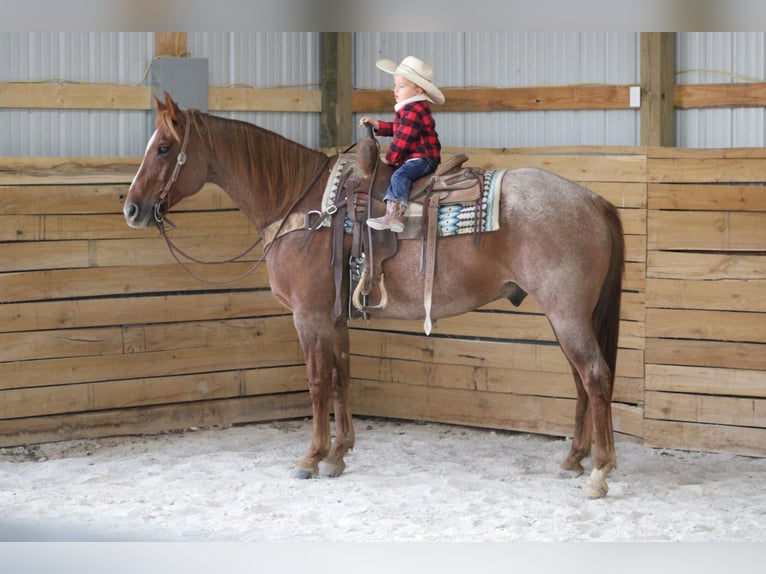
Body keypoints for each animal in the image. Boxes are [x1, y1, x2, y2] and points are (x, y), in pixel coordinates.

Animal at [126, 93, 628, 500]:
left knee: (595, 376)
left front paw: (310, 458)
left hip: (567, 314)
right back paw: (574, 460)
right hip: (567, 317)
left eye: (165, 147)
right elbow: (342, 376)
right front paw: (339, 454)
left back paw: (600, 473)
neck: (304, 207)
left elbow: (318, 382)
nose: (131, 208)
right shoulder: (335, 316)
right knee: (581, 380)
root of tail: (591, 200)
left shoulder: (308, 315)